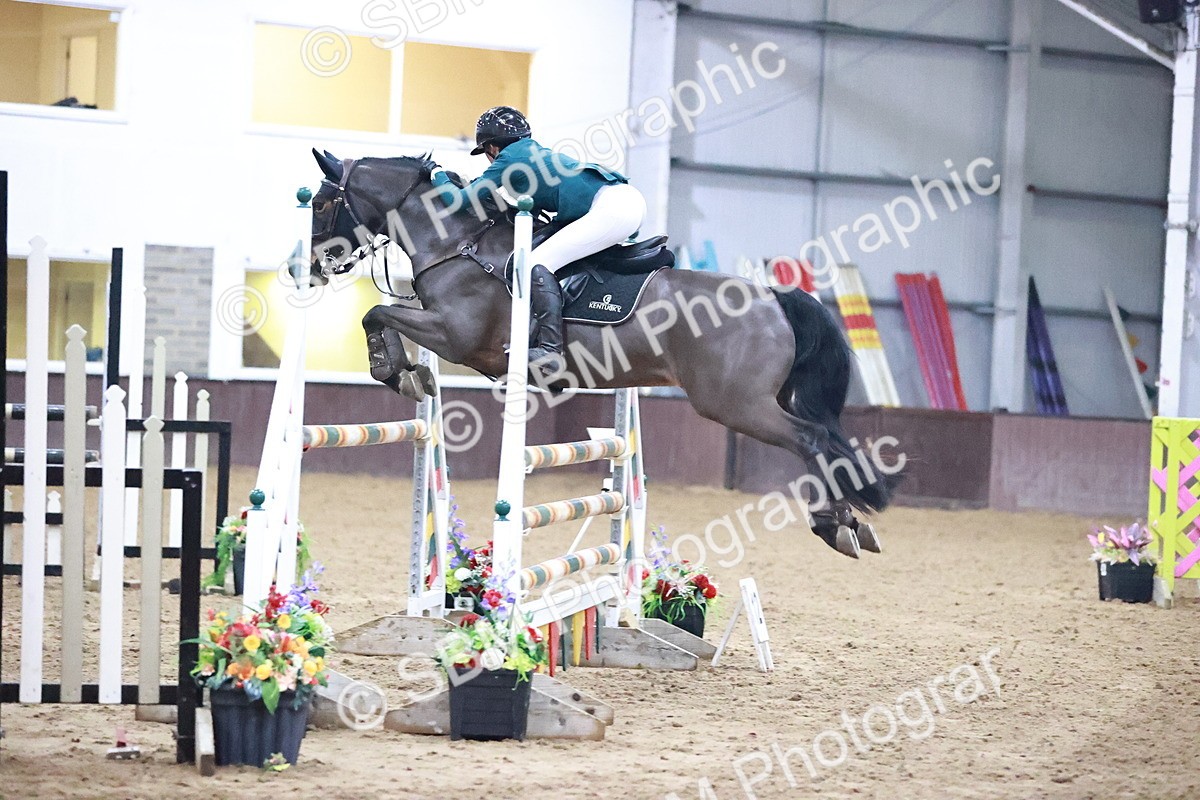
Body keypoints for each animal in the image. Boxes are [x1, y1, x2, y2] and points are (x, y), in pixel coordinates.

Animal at [307, 149, 896, 557]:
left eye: (321, 203)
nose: (308, 270)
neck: (456, 242)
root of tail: (774, 295)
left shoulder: (455, 336)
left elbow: (376, 314)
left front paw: (397, 372)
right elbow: (382, 315)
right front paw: (408, 373)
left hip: (736, 405)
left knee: (811, 440)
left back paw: (833, 525)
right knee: (823, 441)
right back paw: (851, 524)